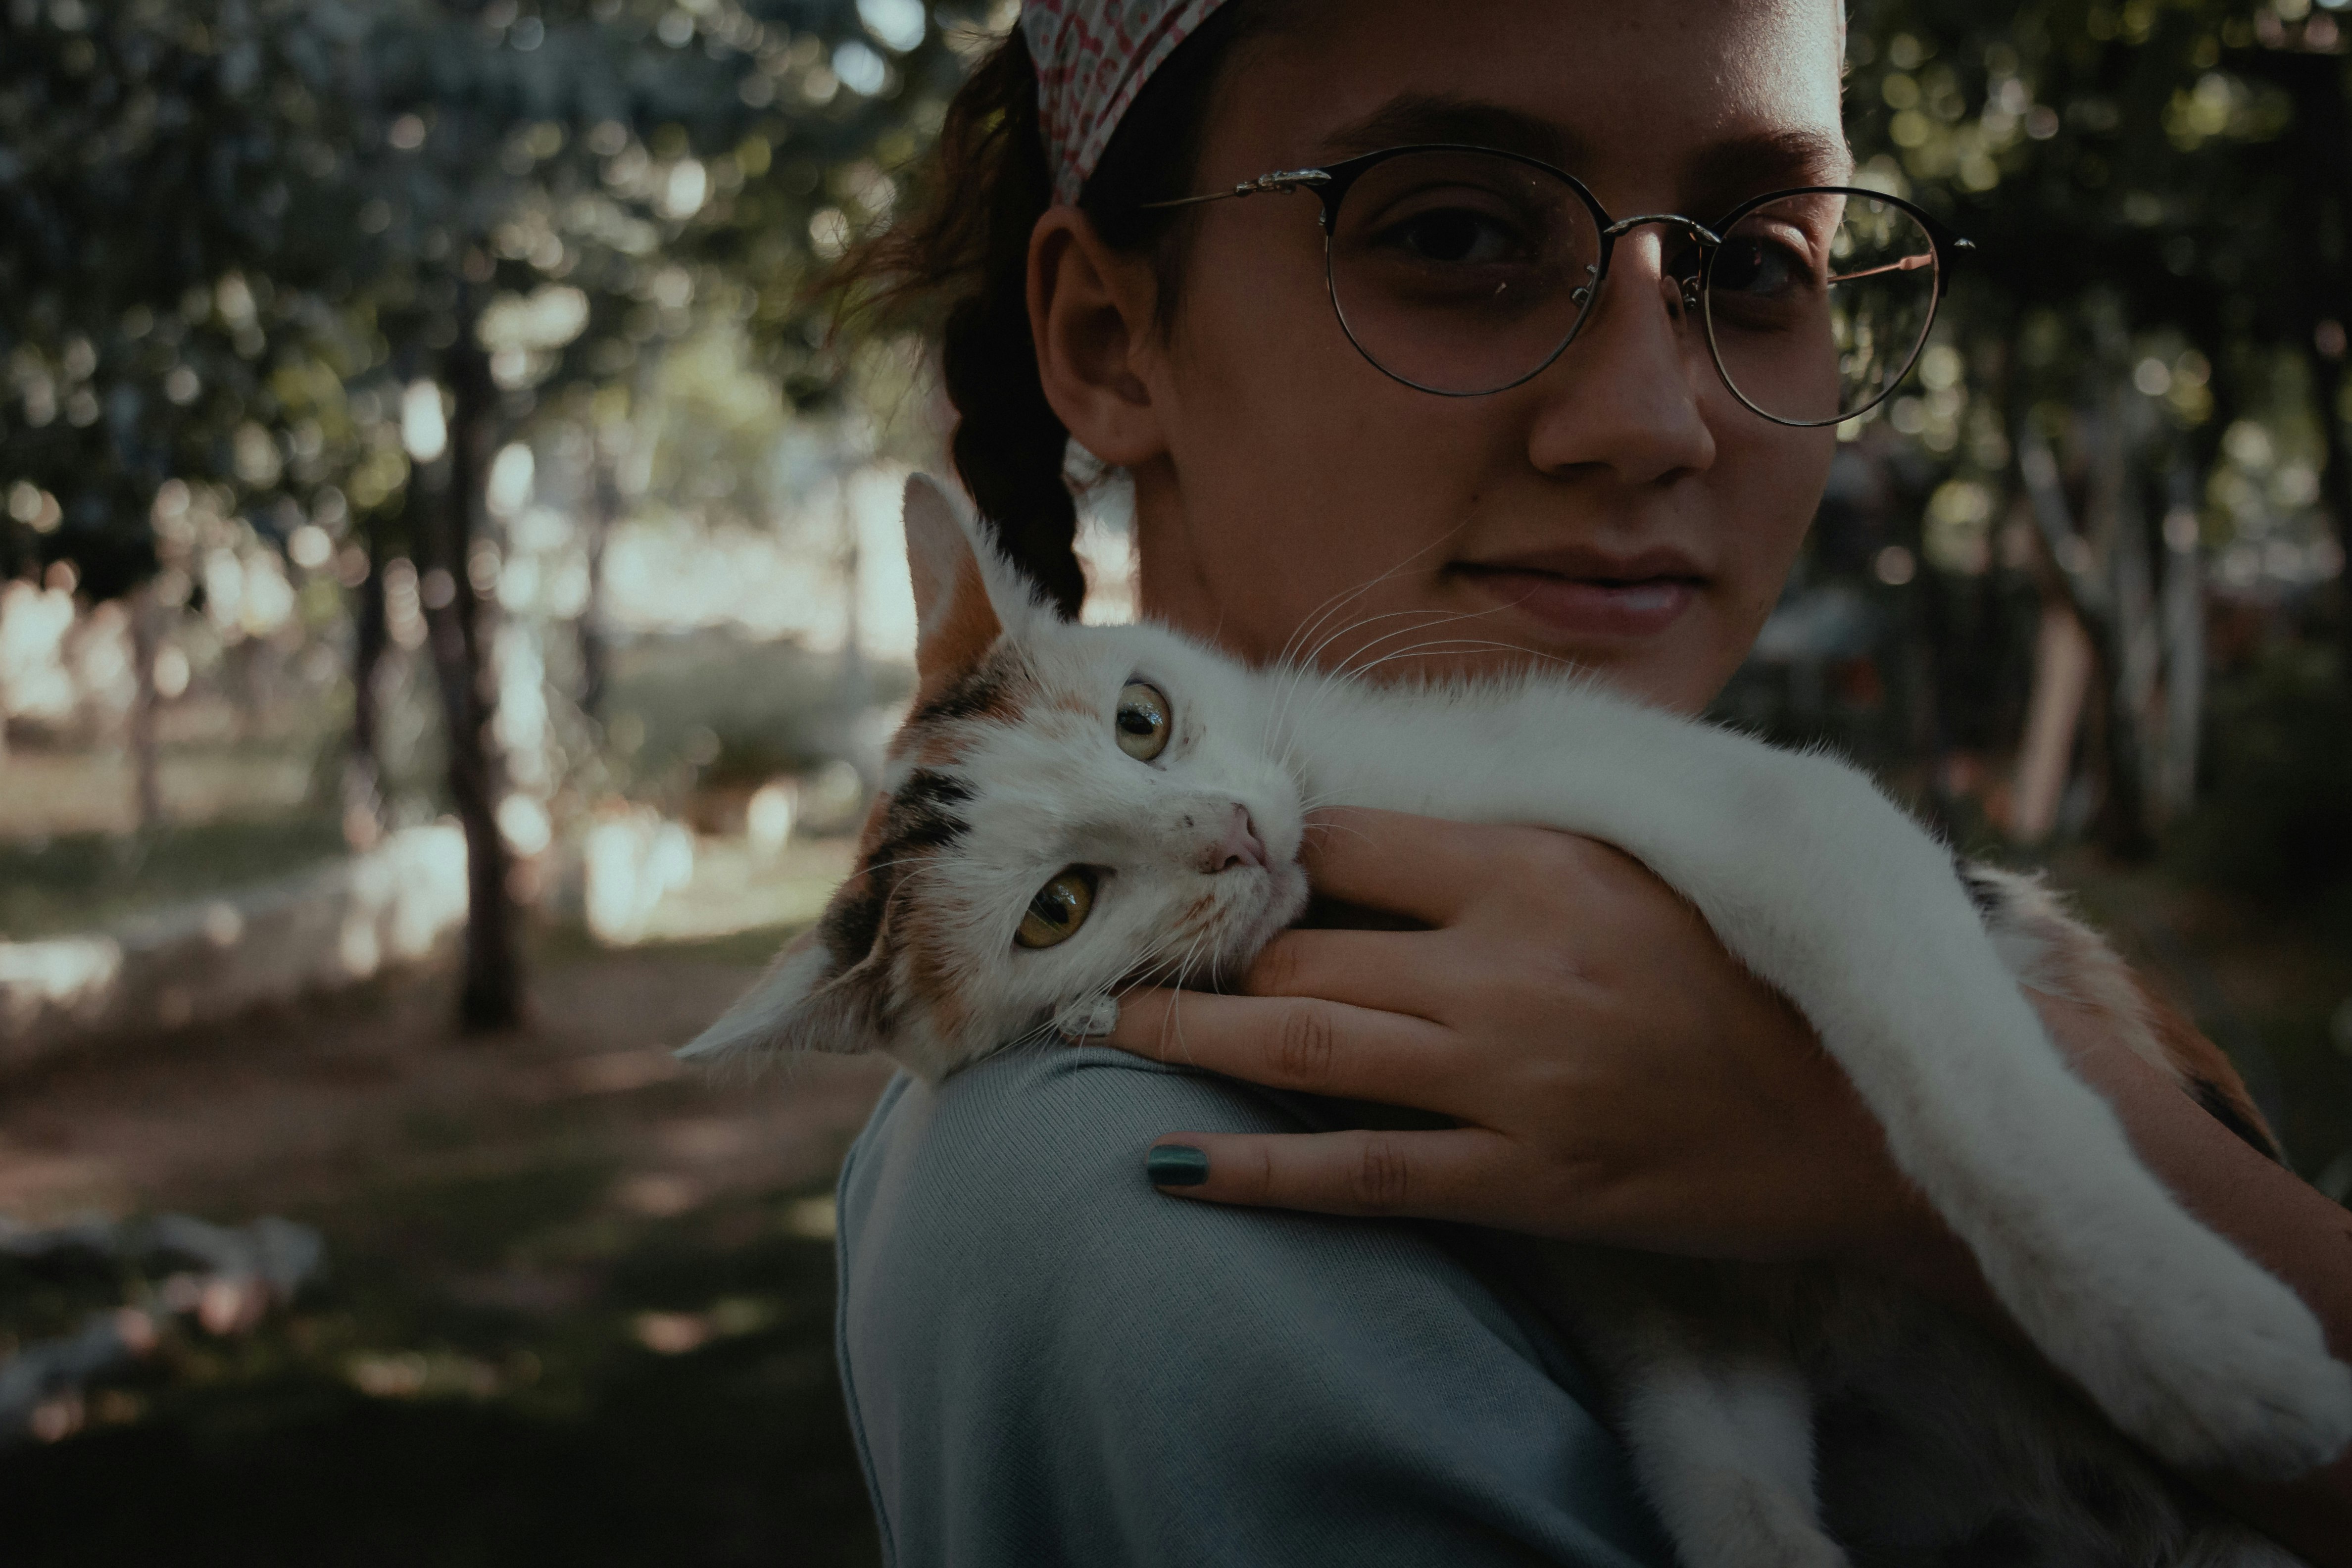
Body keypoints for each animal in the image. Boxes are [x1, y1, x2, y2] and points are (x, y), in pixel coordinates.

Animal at [686, 479, 2352, 1568]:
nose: (1235, 834)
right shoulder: (1664, 1301)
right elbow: (1725, 1494)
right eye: (1059, 907)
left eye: (1142, 720)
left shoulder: (1781, 812)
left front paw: (2206, 1353)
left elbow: (1967, 1093)